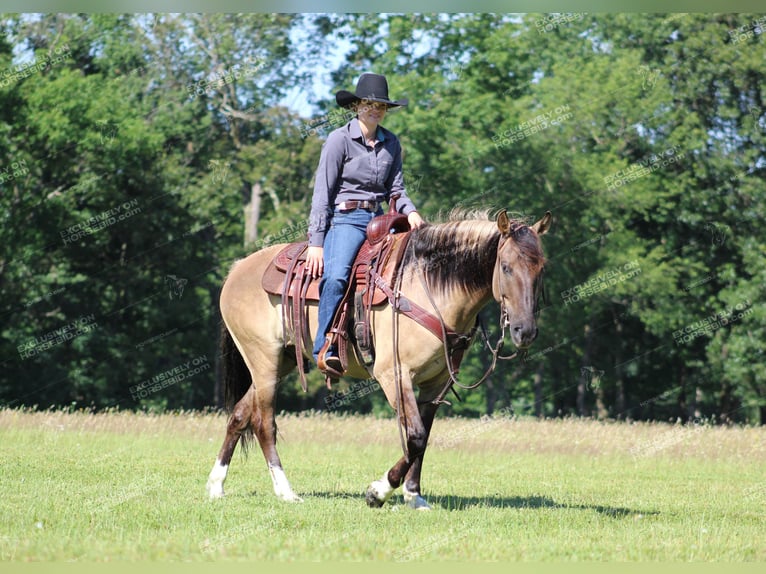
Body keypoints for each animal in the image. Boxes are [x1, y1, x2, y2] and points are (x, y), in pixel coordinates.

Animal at [206, 209, 552, 510]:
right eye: (505, 266)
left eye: (541, 268)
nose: (525, 331)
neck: (430, 285)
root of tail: (238, 268)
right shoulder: (394, 374)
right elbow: (414, 436)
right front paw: (378, 492)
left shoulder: (434, 384)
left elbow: (423, 438)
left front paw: (414, 496)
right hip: (263, 360)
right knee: (264, 422)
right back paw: (285, 491)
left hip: (282, 361)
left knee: (240, 415)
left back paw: (216, 485)